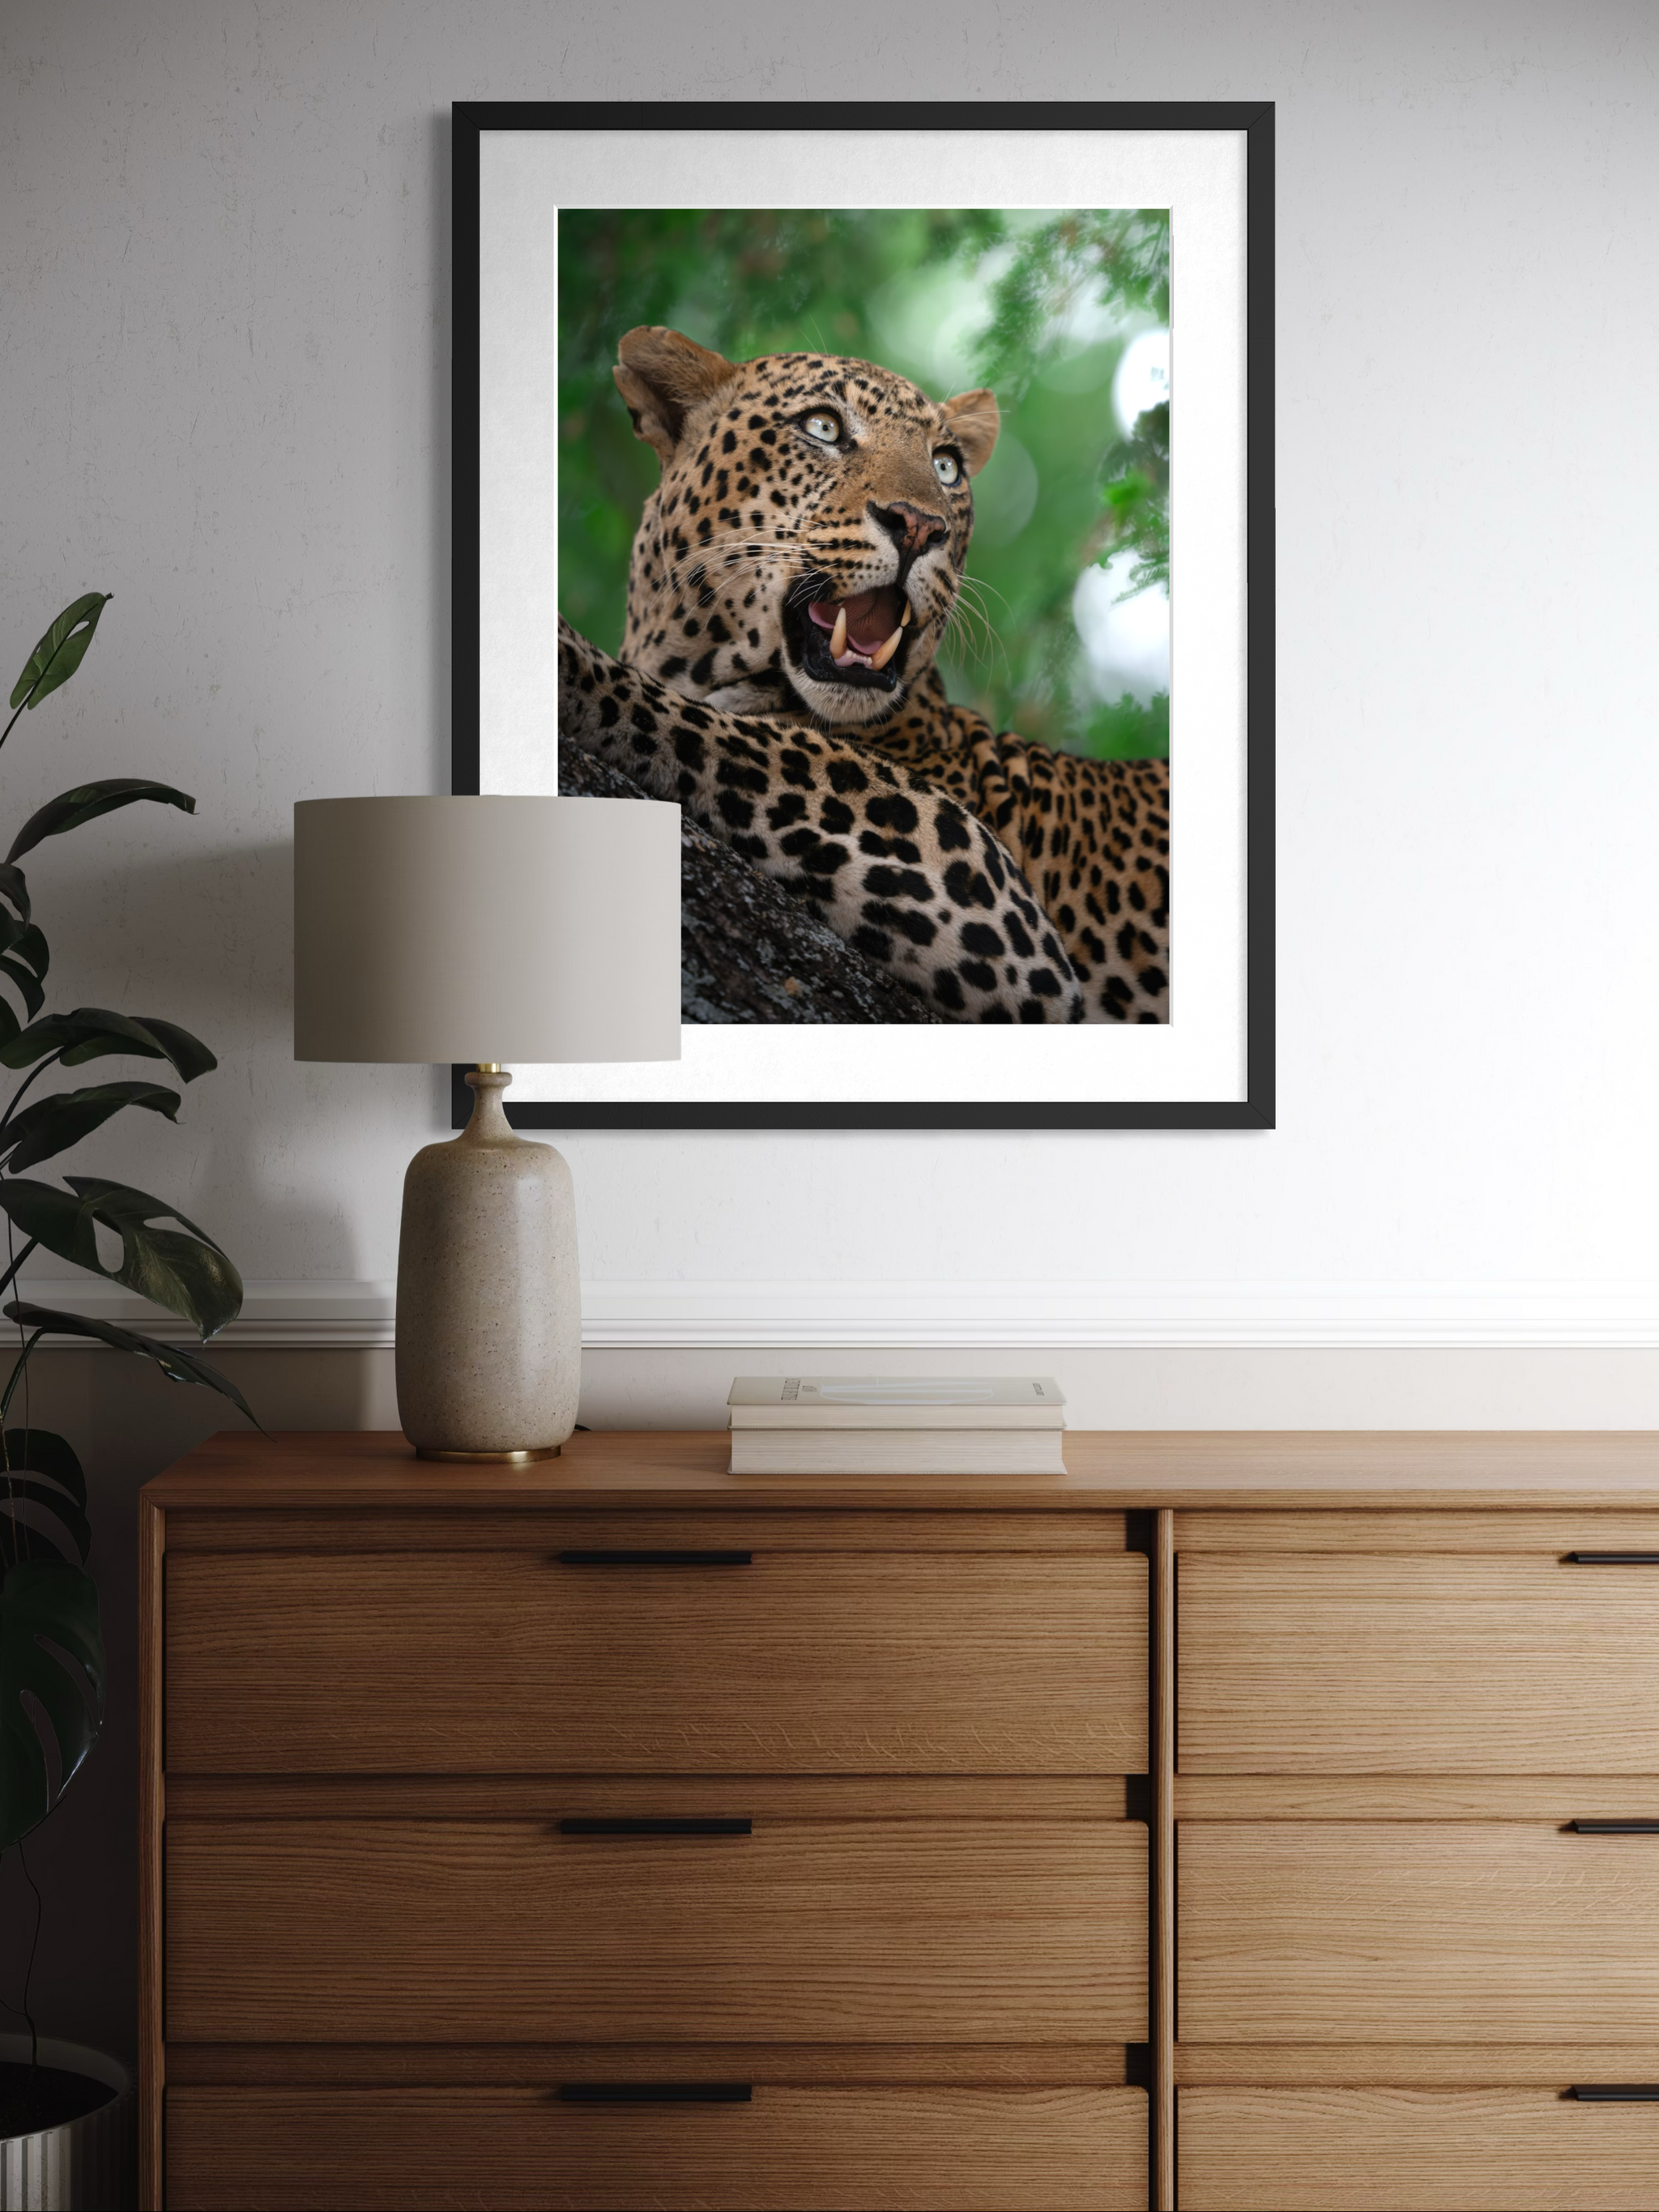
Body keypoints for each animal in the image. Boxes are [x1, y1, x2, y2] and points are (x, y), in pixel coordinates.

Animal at [556, 324, 1169, 1024]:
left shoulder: (986, 886)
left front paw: (570, 660)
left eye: (945, 465)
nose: (921, 525)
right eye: (823, 427)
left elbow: (705, 727)